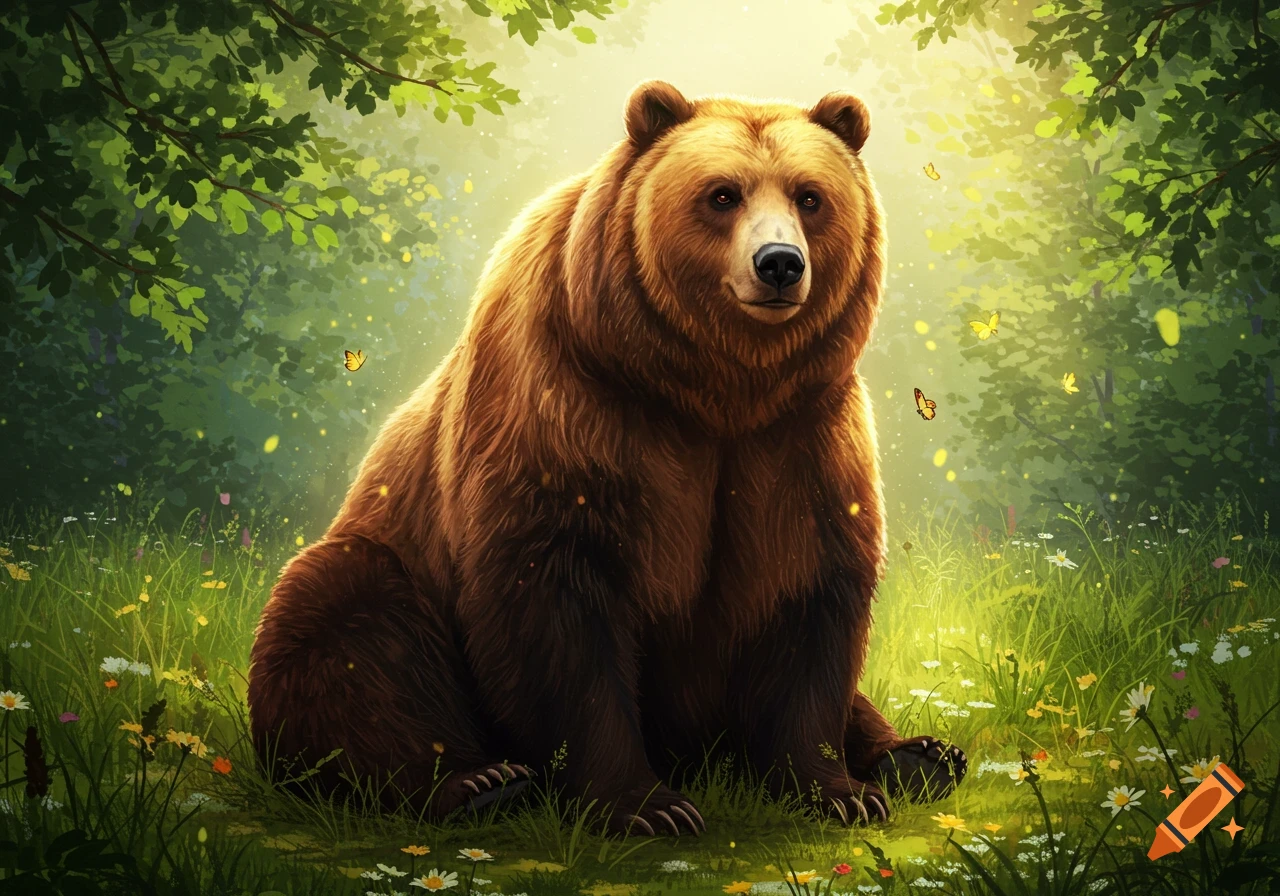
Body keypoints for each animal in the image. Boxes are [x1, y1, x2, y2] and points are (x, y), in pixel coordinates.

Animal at [247, 80, 967, 836]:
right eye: (722, 194)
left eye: (809, 195)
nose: (778, 263)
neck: (716, 390)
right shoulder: (572, 403)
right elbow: (555, 600)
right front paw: (647, 807)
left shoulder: (800, 431)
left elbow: (805, 593)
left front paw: (839, 789)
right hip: (392, 570)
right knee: (349, 631)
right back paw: (477, 782)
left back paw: (919, 757)